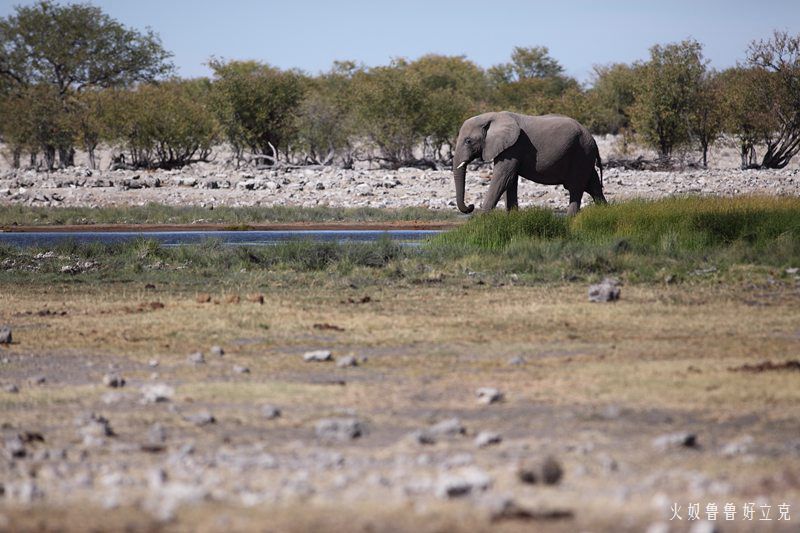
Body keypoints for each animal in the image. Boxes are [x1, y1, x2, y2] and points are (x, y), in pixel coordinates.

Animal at [450, 111, 608, 215]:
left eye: (468, 141)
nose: (470, 206)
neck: (492, 116)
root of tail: (593, 140)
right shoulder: (509, 148)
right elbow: (510, 181)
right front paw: (512, 218)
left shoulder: (513, 146)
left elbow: (502, 178)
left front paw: (479, 222)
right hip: (585, 155)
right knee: (594, 187)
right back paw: (605, 213)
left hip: (581, 152)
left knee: (576, 188)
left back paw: (570, 220)